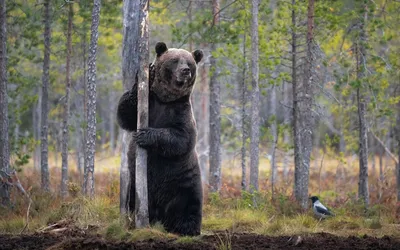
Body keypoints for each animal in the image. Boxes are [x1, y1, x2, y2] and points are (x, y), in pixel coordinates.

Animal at [115, 42, 203, 235]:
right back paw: (132, 220)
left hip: (185, 182)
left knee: (190, 206)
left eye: (189, 62)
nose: (185, 71)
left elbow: (181, 138)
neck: (166, 100)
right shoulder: (149, 104)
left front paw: (144, 135)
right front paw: (147, 74)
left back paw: (187, 229)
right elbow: (126, 113)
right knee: (131, 200)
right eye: (175, 60)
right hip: (135, 184)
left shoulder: (181, 112)